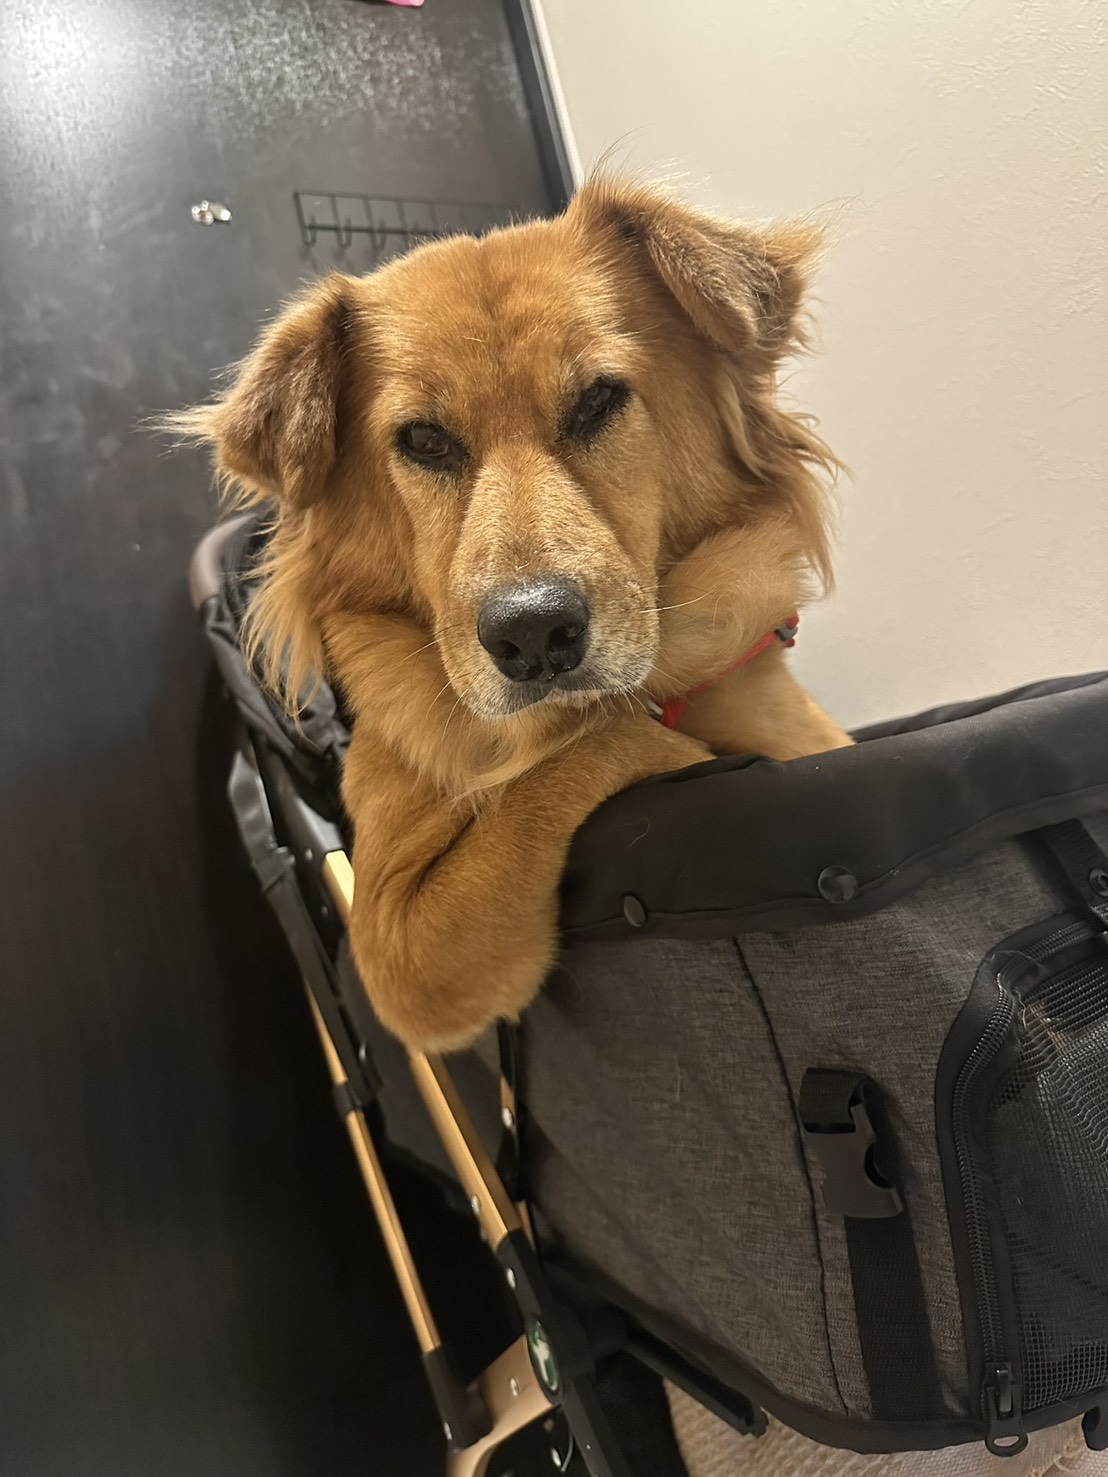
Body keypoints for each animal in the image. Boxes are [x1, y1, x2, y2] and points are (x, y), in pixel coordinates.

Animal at [175, 179, 852, 1051]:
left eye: (597, 399)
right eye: (424, 439)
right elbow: (557, 774)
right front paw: (680, 751)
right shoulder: (394, 941)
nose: (533, 633)